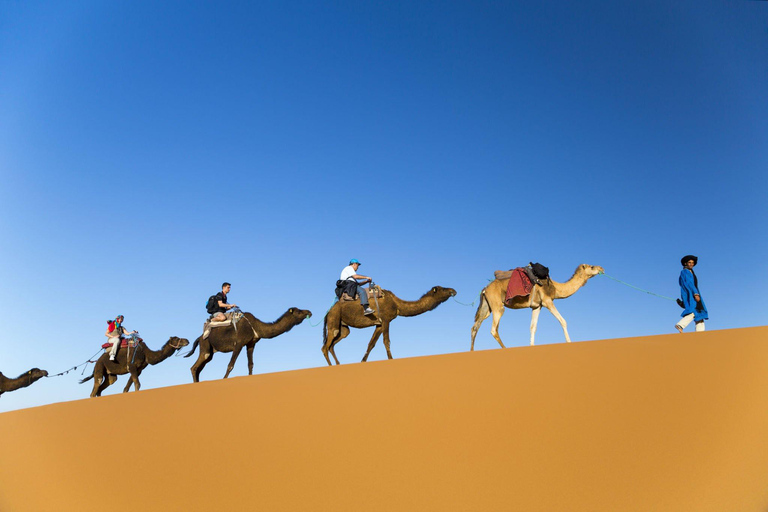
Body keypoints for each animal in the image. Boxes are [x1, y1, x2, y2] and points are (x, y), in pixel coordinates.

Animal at [184, 306, 314, 382]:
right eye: (299, 311)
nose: (309, 312)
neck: (255, 326)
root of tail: (199, 337)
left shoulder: (251, 344)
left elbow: (250, 364)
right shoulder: (239, 343)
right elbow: (230, 365)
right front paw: (223, 380)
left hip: (210, 352)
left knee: (198, 368)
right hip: (205, 345)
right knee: (194, 367)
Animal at [320, 286, 452, 366]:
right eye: (443, 289)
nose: (453, 290)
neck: (396, 304)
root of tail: (328, 311)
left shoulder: (379, 324)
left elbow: (371, 344)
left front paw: (362, 361)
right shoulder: (386, 320)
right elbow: (386, 341)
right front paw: (391, 359)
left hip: (343, 326)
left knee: (334, 342)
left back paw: (338, 364)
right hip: (334, 318)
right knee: (325, 346)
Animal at [468, 262, 608, 350]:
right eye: (592, 266)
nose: (602, 268)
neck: (555, 288)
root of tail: (484, 289)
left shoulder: (536, 306)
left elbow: (533, 327)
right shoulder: (547, 301)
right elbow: (563, 321)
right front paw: (569, 343)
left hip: (487, 307)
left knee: (475, 327)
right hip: (498, 306)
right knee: (493, 329)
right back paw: (505, 348)